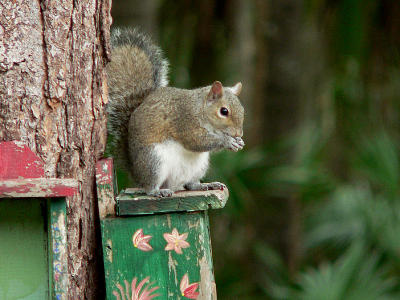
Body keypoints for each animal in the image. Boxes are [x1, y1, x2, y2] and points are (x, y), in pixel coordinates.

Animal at [106, 28, 244, 197]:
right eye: (224, 111)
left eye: (242, 109)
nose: (238, 133)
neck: (199, 109)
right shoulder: (185, 121)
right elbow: (197, 141)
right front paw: (228, 141)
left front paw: (238, 142)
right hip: (154, 161)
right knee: (149, 186)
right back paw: (156, 191)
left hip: (199, 167)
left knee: (190, 184)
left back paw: (206, 185)